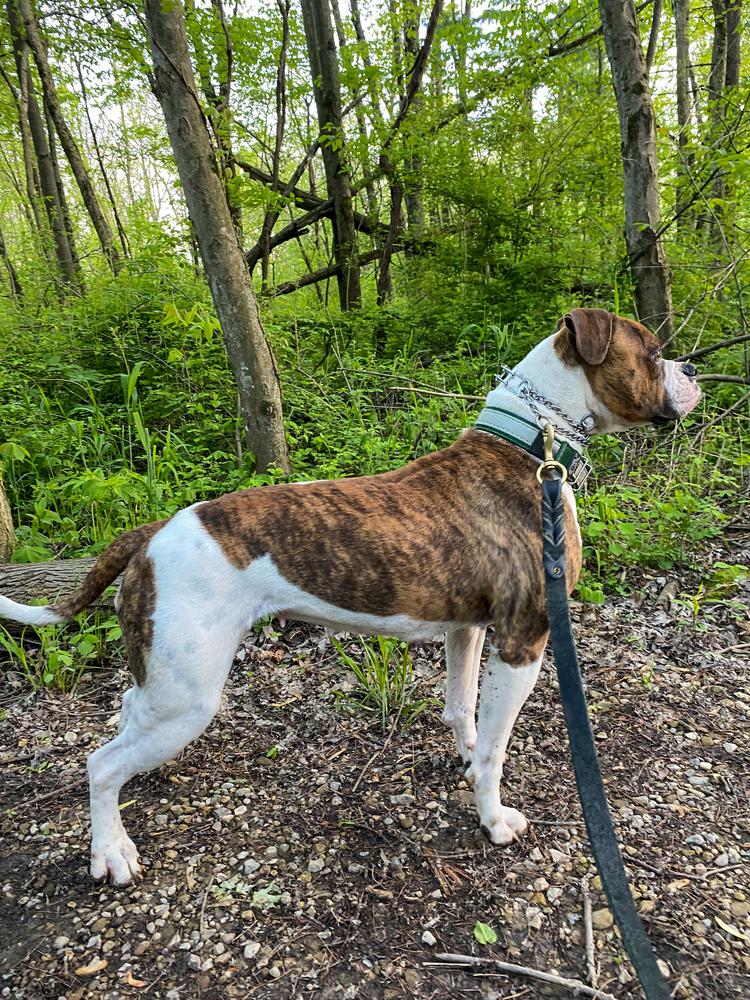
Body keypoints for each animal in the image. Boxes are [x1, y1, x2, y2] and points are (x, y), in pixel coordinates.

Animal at [0, 306, 704, 884]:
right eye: (650, 352)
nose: (693, 368)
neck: (532, 448)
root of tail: (153, 532)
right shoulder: (523, 642)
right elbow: (497, 748)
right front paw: (493, 818)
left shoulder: (468, 631)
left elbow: (463, 712)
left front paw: (465, 759)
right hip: (187, 698)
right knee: (100, 765)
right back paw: (111, 852)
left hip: (164, 680)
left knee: (126, 710)